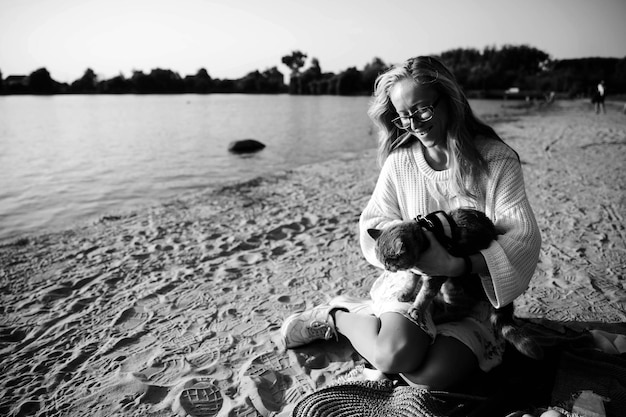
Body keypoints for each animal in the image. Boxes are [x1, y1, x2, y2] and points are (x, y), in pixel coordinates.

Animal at [366, 210, 540, 360]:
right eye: (381, 260)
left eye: (388, 261)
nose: (386, 268)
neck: (423, 235)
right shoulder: (415, 271)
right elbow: (411, 280)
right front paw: (405, 293)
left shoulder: (436, 275)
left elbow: (424, 295)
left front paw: (417, 308)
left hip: (452, 285)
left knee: (459, 312)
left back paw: (437, 318)